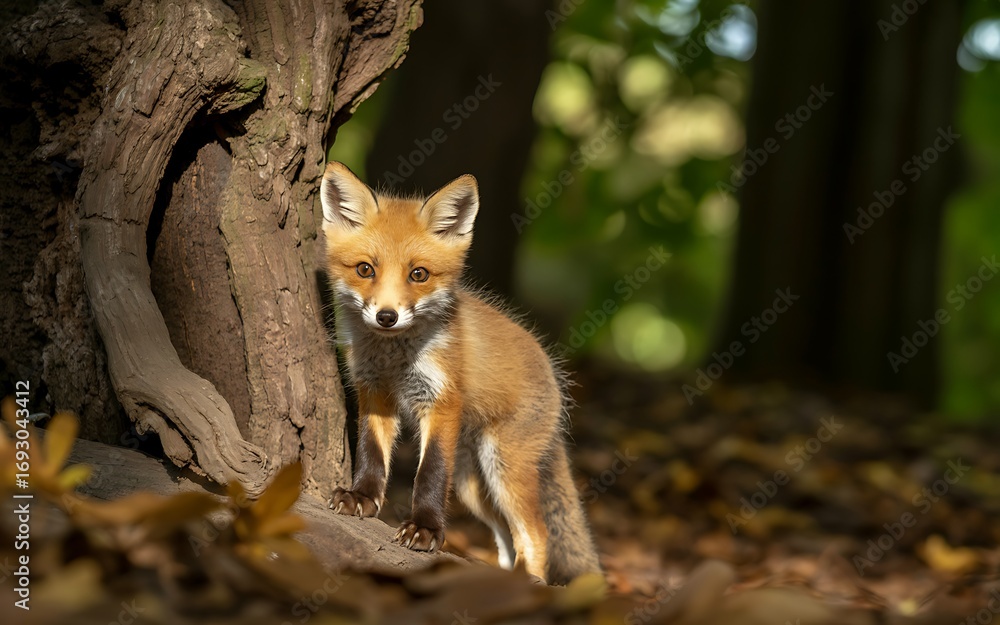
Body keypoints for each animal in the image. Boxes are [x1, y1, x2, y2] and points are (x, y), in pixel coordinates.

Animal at [319, 161, 601, 585]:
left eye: (419, 274)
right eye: (365, 269)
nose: (387, 316)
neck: (393, 358)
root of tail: (552, 370)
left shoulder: (442, 401)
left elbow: (430, 472)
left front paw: (425, 529)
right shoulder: (374, 391)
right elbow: (370, 452)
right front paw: (362, 497)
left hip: (504, 467)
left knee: (537, 533)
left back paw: (527, 581)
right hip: (473, 485)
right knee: (507, 538)